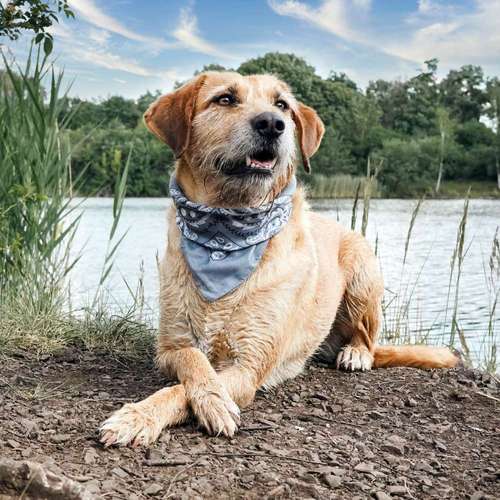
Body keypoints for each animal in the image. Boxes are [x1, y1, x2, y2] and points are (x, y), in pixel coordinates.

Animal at [97, 69, 458, 446]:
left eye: (282, 104)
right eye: (225, 98)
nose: (272, 123)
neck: (225, 236)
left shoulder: (249, 366)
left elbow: (180, 390)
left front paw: (165, 411)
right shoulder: (169, 348)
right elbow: (193, 361)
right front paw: (152, 411)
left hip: (363, 274)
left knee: (369, 341)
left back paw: (355, 353)